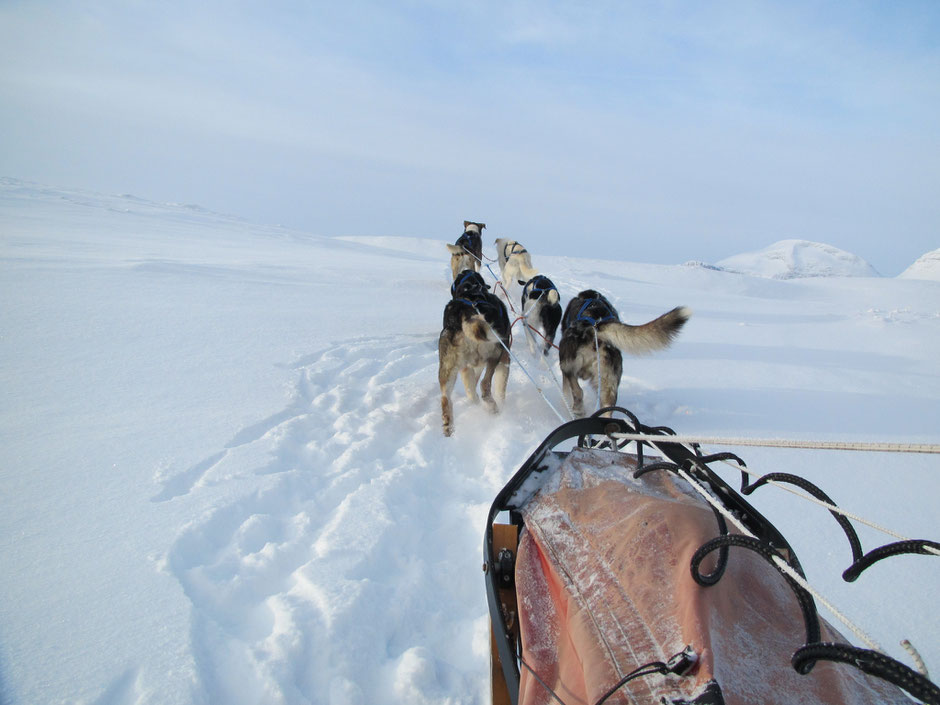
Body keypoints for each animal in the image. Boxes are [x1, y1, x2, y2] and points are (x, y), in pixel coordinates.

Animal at [438, 270, 510, 434]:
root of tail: (464, 313)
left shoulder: (469, 367)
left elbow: (471, 386)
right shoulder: (504, 359)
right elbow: (500, 388)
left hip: (448, 368)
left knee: (446, 397)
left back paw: (449, 425)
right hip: (494, 356)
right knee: (485, 385)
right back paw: (494, 409)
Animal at [560, 288, 692, 416]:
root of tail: (595, 328)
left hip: (568, 366)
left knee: (578, 391)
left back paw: (577, 409)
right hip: (609, 384)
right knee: (606, 408)